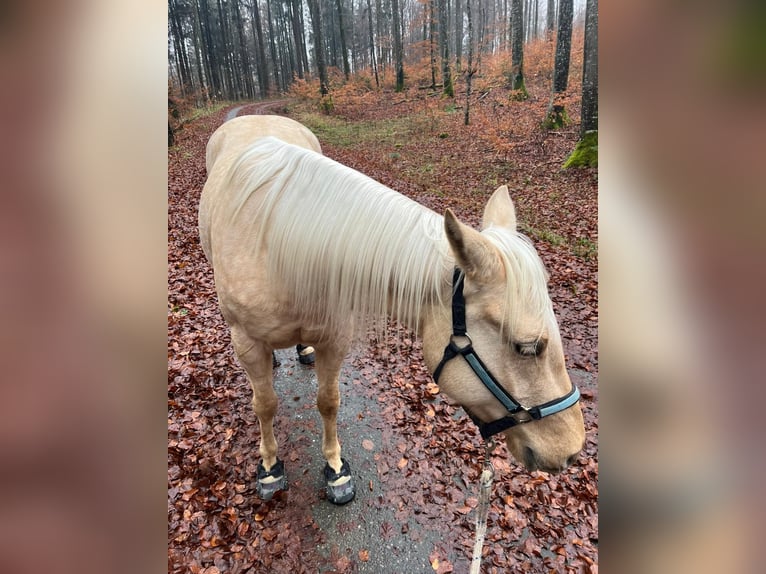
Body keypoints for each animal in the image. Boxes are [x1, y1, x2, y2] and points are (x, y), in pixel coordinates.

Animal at [198, 115, 585, 504]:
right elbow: (264, 405)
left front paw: (335, 469)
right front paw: (269, 466)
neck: (279, 249)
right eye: (527, 348)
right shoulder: (247, 344)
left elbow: (329, 401)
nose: (571, 449)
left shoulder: (334, 340)